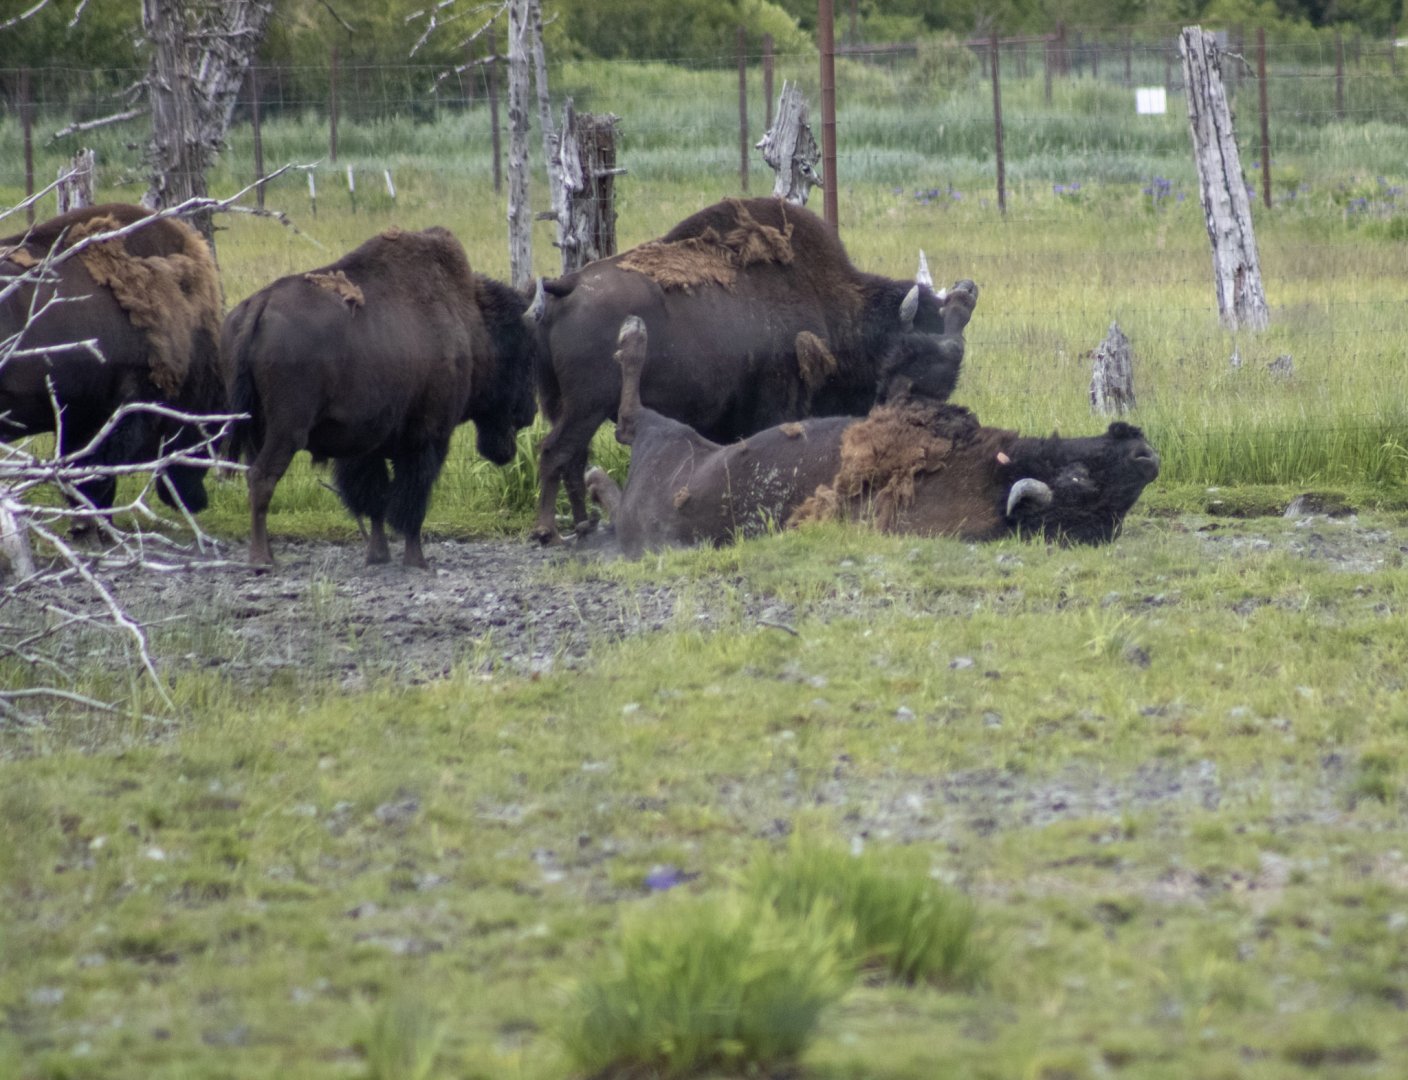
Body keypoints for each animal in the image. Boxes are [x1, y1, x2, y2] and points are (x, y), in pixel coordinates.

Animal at [223, 226, 538, 569]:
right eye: (523, 349)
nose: (530, 412)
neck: (470, 324)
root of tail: (259, 305)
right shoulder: (428, 437)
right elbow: (411, 501)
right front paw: (417, 560)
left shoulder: (366, 444)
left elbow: (376, 499)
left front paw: (378, 555)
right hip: (287, 431)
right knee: (262, 478)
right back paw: (262, 559)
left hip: (255, 430)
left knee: (254, 478)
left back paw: (266, 555)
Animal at [529, 195, 975, 544]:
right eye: (906, 357)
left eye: (949, 381)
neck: (838, 308)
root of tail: (568, 285)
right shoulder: (777, 404)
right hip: (584, 407)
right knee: (556, 451)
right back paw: (548, 531)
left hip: (577, 409)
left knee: (573, 458)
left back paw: (583, 524)